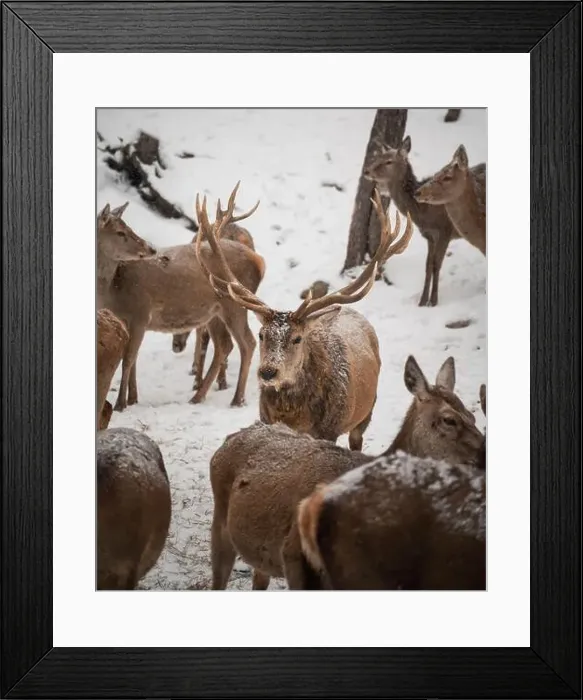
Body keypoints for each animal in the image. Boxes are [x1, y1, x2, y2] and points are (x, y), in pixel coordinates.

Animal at [196, 187, 413, 449]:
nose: (268, 372)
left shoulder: (329, 429)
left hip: (365, 411)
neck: (294, 417)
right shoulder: (267, 421)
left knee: (357, 439)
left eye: (298, 338)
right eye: (262, 334)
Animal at [209, 354, 485, 590]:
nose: (484, 453)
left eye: (472, 415)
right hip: (221, 524)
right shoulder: (293, 553)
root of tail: (227, 441)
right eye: (449, 420)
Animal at [363, 135, 460, 307]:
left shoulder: (445, 231)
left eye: (389, 161)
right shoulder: (429, 236)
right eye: (378, 157)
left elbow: (437, 265)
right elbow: (428, 266)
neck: (425, 212)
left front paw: (433, 301)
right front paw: (422, 301)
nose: (367, 171)